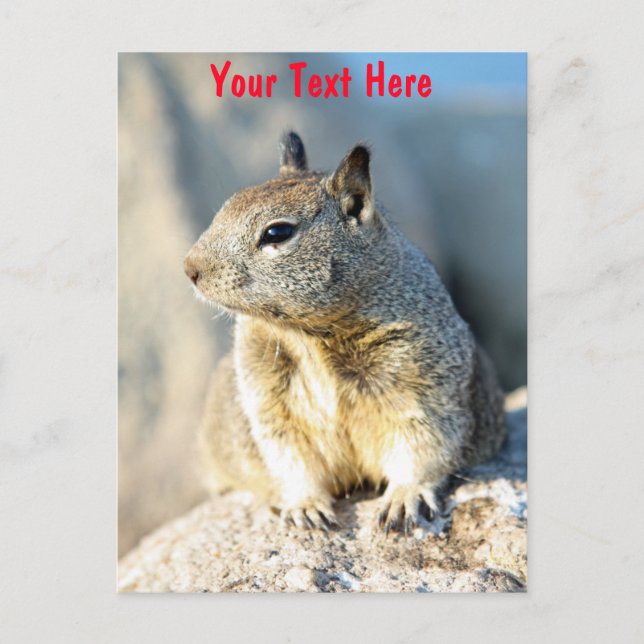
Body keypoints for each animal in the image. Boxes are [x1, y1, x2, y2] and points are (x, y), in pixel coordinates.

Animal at [183, 132, 506, 534]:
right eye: (224, 208)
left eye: (277, 232)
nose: (189, 268)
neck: (308, 335)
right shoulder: (268, 401)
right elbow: (291, 458)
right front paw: (306, 506)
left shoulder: (425, 384)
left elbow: (422, 446)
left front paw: (404, 497)